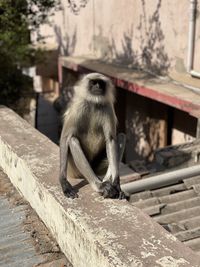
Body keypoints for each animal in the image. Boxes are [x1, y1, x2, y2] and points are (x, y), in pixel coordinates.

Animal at [58, 72, 126, 200]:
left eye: (101, 83)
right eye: (93, 82)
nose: (98, 87)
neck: (94, 103)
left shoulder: (107, 107)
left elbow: (111, 140)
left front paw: (116, 183)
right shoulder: (78, 106)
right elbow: (65, 138)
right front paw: (64, 182)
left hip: (97, 167)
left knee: (120, 137)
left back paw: (108, 183)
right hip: (75, 170)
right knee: (72, 140)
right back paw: (99, 186)